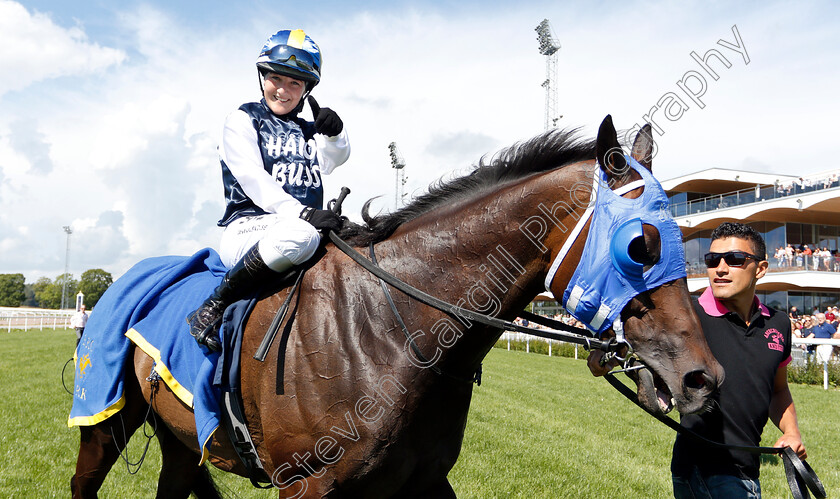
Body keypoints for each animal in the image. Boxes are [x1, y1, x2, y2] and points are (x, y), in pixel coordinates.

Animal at [74, 116, 720, 496]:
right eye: (639, 245)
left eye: (680, 231)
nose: (703, 378)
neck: (387, 330)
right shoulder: (307, 486)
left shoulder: (422, 482)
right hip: (104, 421)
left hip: (180, 436)